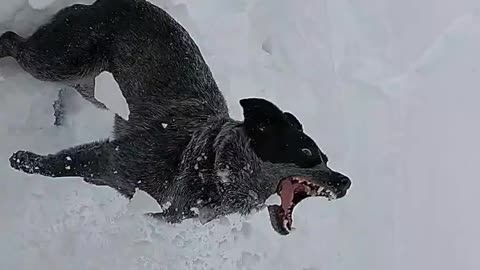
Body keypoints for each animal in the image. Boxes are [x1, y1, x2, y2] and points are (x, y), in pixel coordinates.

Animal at [0, 0, 352, 235]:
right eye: (306, 152)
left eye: (326, 158)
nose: (345, 182)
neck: (210, 162)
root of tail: (113, 2)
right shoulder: (114, 158)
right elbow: (59, 164)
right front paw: (24, 160)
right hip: (57, 62)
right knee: (11, 40)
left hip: (85, 82)